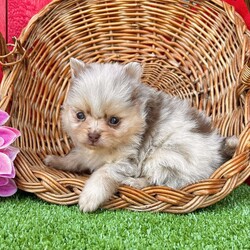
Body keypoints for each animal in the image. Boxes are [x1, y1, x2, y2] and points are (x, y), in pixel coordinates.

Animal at [44, 57, 237, 212]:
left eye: (114, 121)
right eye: (80, 116)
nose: (93, 135)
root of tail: (218, 149)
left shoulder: (126, 162)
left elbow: (103, 174)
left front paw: (89, 198)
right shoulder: (85, 152)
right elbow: (74, 158)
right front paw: (55, 160)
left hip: (165, 157)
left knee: (162, 181)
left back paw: (135, 182)